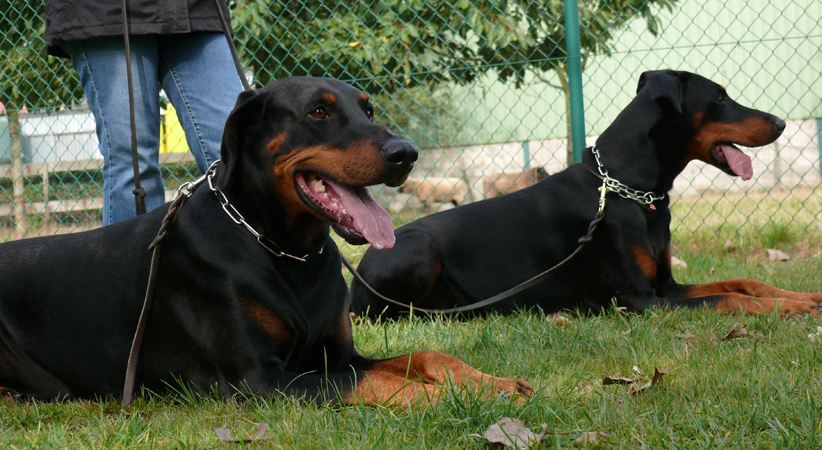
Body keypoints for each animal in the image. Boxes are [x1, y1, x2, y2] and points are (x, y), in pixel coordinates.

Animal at [0, 77, 532, 408]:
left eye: (368, 108)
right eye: (318, 111)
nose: (406, 153)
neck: (286, 250)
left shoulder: (335, 353)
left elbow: (425, 355)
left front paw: (493, 384)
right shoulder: (260, 379)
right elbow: (370, 380)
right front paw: (456, 397)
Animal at [352, 69, 822, 316]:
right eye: (721, 98)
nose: (781, 123)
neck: (631, 190)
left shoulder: (666, 286)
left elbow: (744, 283)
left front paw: (807, 296)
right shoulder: (640, 299)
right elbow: (730, 297)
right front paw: (794, 309)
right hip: (418, 248)